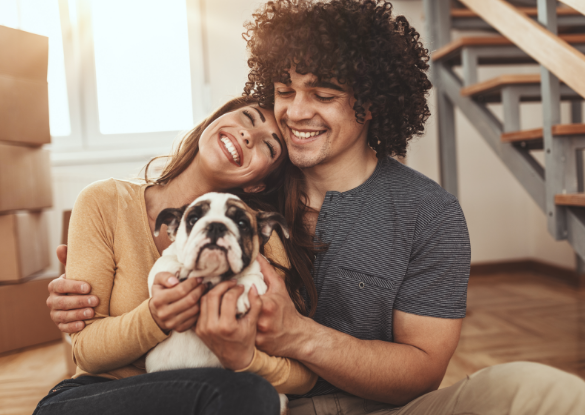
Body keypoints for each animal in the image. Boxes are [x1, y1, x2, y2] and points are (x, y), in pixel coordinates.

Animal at [145, 192, 288, 412]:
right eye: (193, 219)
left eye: (241, 223)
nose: (216, 226)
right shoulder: (161, 267)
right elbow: (164, 263)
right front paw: (180, 269)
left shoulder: (259, 275)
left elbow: (252, 281)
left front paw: (240, 294)